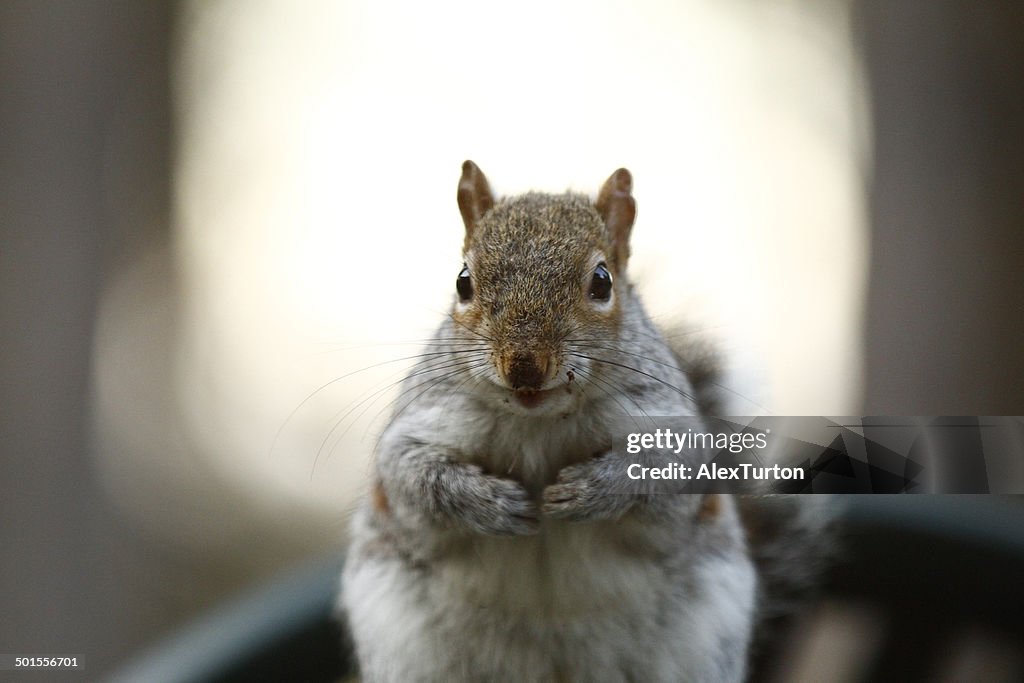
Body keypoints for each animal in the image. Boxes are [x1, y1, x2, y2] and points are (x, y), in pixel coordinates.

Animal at [339, 161, 827, 683]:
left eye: (602, 282)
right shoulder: (422, 421)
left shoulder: (669, 427)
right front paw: (493, 503)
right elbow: (414, 476)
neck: (538, 421)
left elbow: (662, 475)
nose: (524, 366)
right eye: (463, 282)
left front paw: (590, 490)